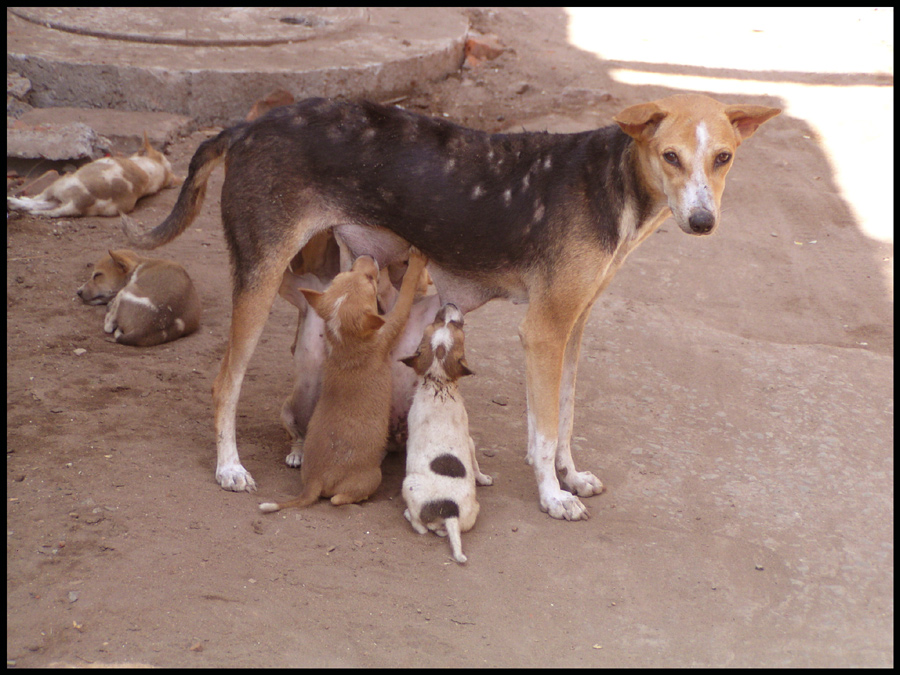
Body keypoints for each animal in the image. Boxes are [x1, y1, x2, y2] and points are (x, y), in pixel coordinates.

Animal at [260, 248, 428, 512]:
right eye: (369, 280)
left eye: (348, 271)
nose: (368, 255)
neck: (344, 343)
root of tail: (314, 482)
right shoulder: (391, 324)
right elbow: (406, 293)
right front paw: (415, 262)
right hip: (371, 477)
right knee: (339, 498)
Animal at [404, 304, 496, 564]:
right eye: (437, 322)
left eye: (452, 325)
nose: (449, 305)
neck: (439, 385)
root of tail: (450, 511)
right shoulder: (469, 440)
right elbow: (475, 464)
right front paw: (483, 478)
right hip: (471, 513)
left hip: (408, 484)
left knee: (420, 526)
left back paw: (408, 515)